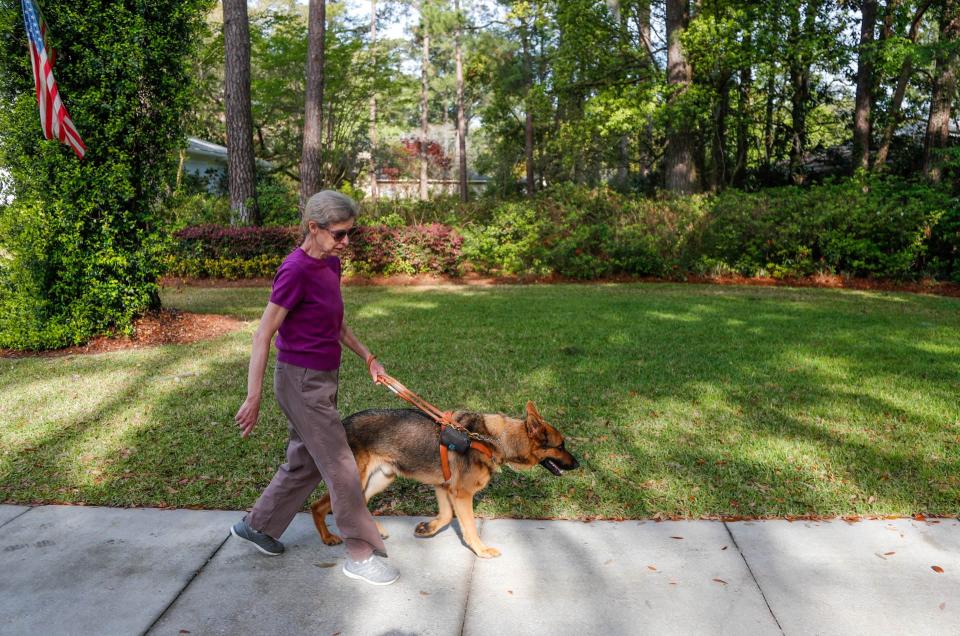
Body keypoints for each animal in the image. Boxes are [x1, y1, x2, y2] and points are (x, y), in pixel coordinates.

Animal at [312, 402, 576, 556]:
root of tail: (342, 423)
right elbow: (469, 527)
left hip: (381, 478)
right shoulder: (461, 494)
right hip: (357, 478)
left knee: (357, 504)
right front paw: (481, 550)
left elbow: (447, 516)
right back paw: (327, 538)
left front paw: (428, 529)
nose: (578, 464)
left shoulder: (443, 487)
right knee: (320, 506)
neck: (494, 439)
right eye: (560, 446)